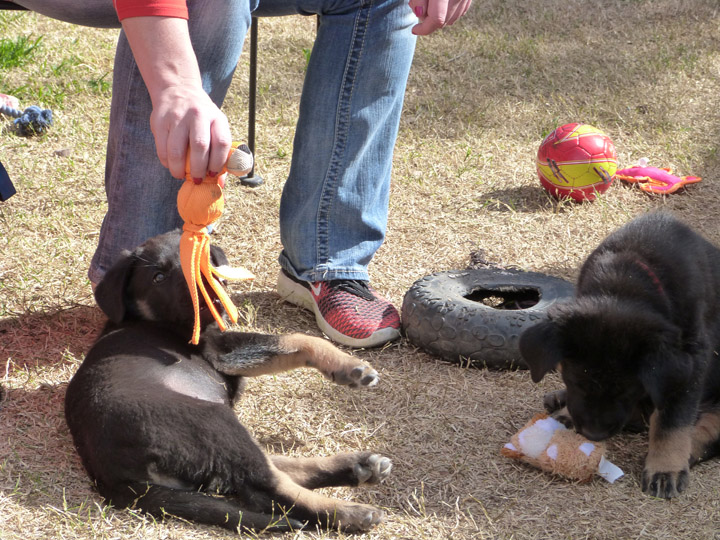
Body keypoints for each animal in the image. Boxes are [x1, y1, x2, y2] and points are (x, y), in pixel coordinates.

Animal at [67, 230, 390, 532]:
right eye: (158, 277)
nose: (207, 285)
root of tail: (109, 477)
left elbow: (289, 345)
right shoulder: (221, 349)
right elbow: (296, 338)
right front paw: (351, 367)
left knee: (261, 471)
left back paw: (359, 467)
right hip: (211, 419)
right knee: (267, 488)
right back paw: (347, 511)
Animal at [520, 213, 720, 500]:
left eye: (628, 391)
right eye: (575, 382)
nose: (593, 435)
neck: (624, 283)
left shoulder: (691, 360)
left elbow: (672, 421)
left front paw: (665, 468)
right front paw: (566, 407)